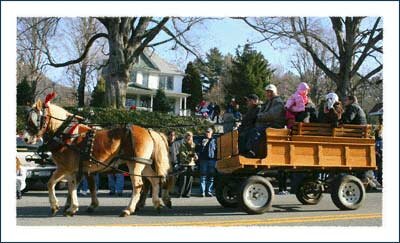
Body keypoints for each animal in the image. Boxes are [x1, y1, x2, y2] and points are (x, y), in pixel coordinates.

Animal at [22, 94, 171, 216]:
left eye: (35, 119)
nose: (25, 139)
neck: (67, 134)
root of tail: (149, 131)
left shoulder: (65, 168)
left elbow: (51, 183)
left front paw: (56, 206)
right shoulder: (75, 170)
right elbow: (73, 186)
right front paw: (72, 207)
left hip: (134, 164)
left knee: (139, 185)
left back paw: (128, 209)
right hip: (143, 164)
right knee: (154, 180)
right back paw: (157, 203)